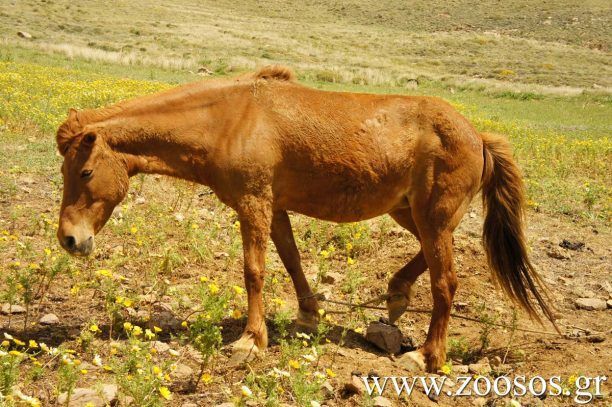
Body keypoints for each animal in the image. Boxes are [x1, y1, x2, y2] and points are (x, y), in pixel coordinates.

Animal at [57, 65, 556, 372]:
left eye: (84, 171)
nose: (69, 240)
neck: (229, 121)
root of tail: (478, 136)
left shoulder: (253, 205)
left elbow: (254, 271)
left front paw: (249, 341)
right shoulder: (274, 208)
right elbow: (292, 261)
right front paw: (308, 316)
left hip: (432, 217)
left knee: (446, 282)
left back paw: (426, 357)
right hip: (412, 213)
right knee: (427, 262)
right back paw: (396, 294)